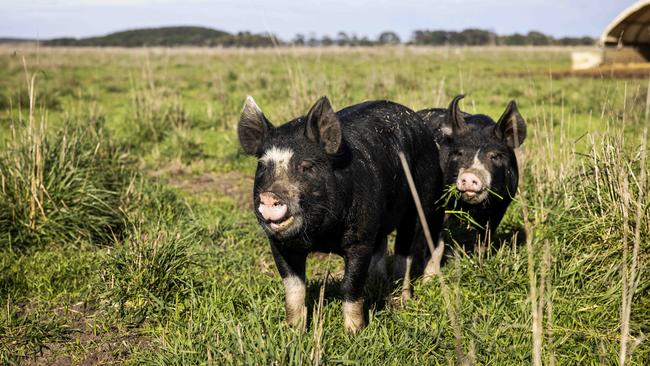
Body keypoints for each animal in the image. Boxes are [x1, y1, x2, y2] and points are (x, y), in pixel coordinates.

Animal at [239, 96, 446, 334]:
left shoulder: (360, 238)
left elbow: (351, 284)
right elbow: (293, 287)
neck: (321, 236)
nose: (270, 195)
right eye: (263, 166)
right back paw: (377, 285)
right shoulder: (279, 244)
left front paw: (354, 333)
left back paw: (407, 297)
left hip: (423, 201)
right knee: (383, 245)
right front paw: (293, 332)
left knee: (409, 250)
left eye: (306, 166)